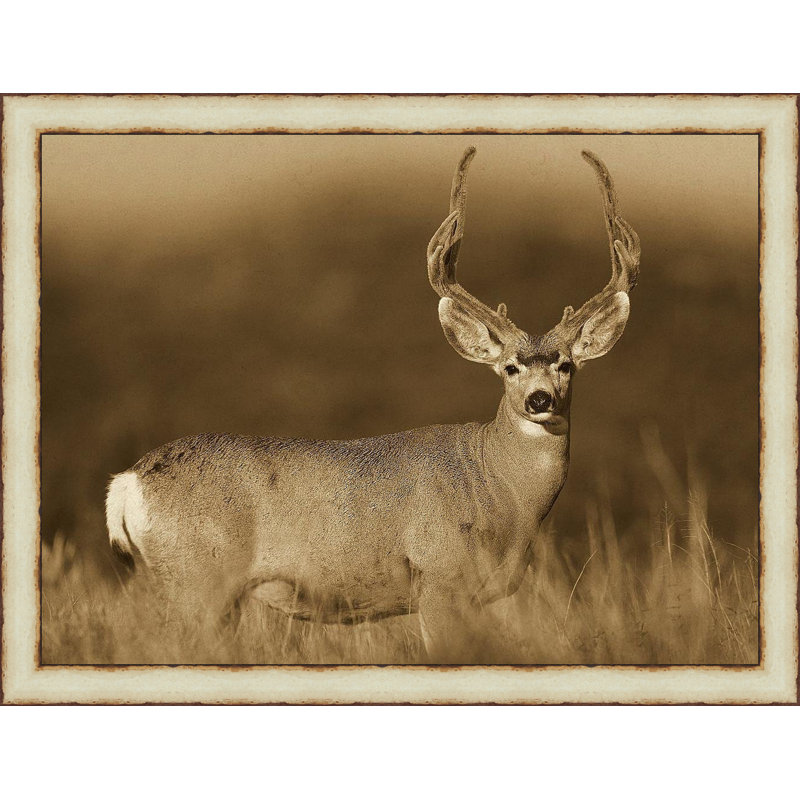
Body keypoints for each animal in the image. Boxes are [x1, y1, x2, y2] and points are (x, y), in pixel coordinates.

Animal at [105, 147, 640, 661]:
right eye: (510, 367)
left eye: (566, 365)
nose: (539, 398)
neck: (500, 492)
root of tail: (128, 482)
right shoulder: (439, 578)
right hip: (197, 580)